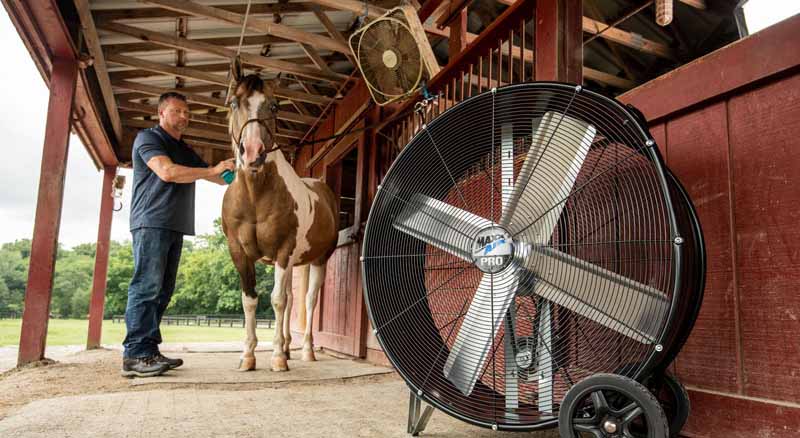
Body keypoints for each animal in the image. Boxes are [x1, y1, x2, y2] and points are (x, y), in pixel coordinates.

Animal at [222, 70, 338, 372]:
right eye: (234, 103)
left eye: (274, 106)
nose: (253, 153)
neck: (255, 196)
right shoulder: (240, 252)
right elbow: (250, 300)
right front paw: (248, 355)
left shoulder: (283, 250)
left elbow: (277, 300)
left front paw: (276, 357)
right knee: (292, 299)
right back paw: (287, 346)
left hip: (316, 260)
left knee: (307, 300)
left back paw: (306, 350)